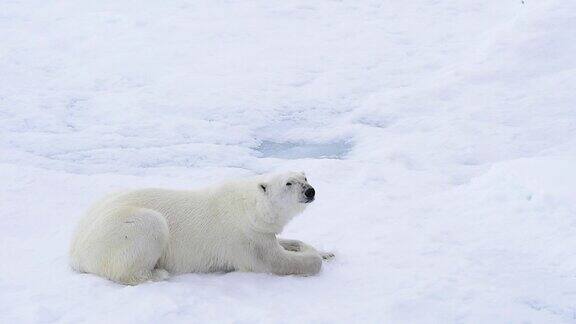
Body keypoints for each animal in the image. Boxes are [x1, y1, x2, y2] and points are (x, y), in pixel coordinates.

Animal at [68, 171, 332, 284]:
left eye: (305, 177)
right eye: (289, 183)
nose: (310, 191)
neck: (250, 208)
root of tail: (75, 252)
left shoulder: (260, 232)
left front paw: (326, 252)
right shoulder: (245, 238)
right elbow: (274, 261)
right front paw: (313, 258)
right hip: (121, 229)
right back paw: (158, 273)